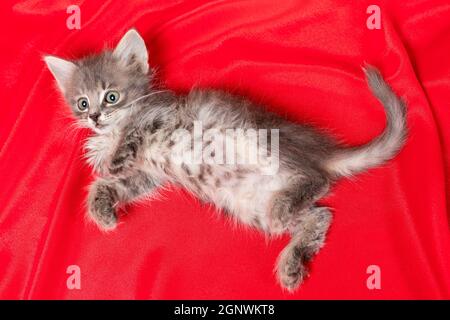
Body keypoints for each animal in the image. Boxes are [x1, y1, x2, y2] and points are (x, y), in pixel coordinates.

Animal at [44, 28, 408, 292]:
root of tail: (318, 151)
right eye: (81, 103)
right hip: (253, 207)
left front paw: (110, 156)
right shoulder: (147, 176)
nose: (94, 117)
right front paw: (102, 213)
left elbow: (128, 137)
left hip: (257, 139)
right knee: (320, 215)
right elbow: (108, 186)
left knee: (316, 180)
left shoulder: (159, 115)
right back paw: (292, 262)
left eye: (111, 96)